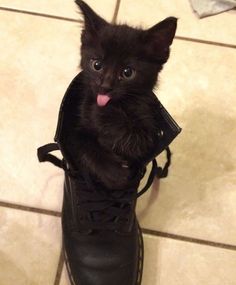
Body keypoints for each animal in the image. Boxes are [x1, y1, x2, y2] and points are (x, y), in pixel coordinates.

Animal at [68, 1, 177, 190]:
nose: (105, 87)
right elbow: (81, 141)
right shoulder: (79, 126)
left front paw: (100, 112)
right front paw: (113, 173)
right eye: (97, 65)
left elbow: (137, 141)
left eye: (127, 72)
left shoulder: (149, 130)